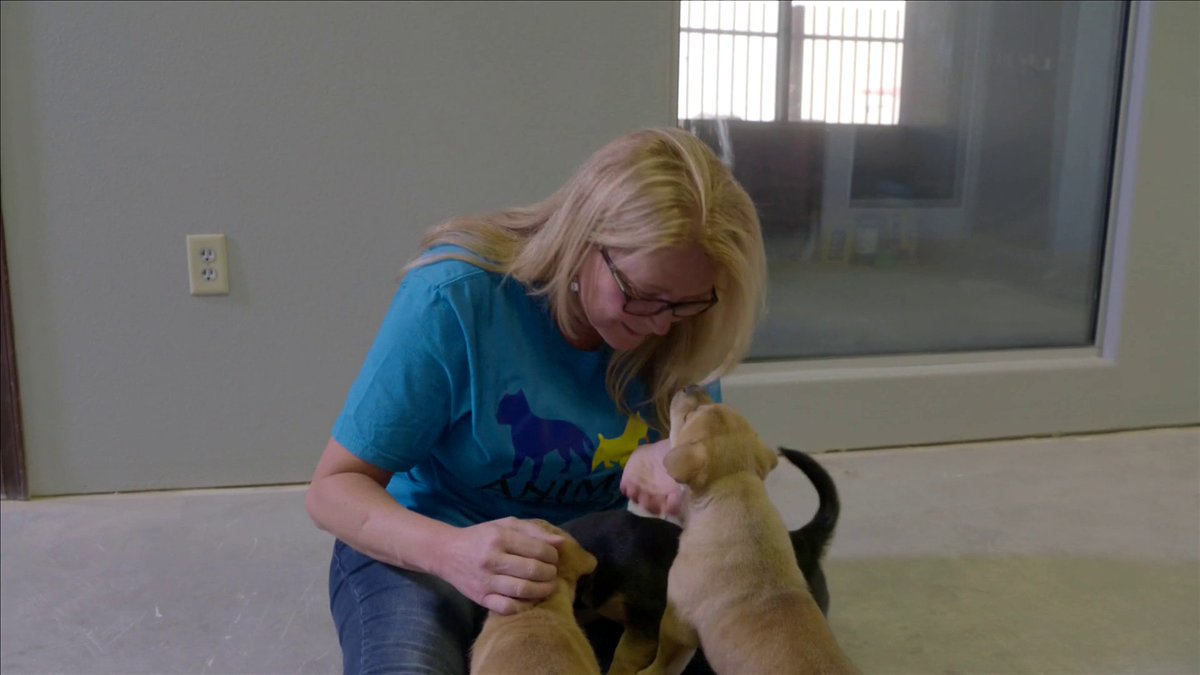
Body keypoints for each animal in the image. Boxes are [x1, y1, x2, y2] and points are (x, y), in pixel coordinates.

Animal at [633, 389, 859, 672]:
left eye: (687, 417)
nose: (691, 387)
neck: (737, 488)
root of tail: (809, 540)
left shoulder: (677, 623)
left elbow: (665, 660)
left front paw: (646, 671)